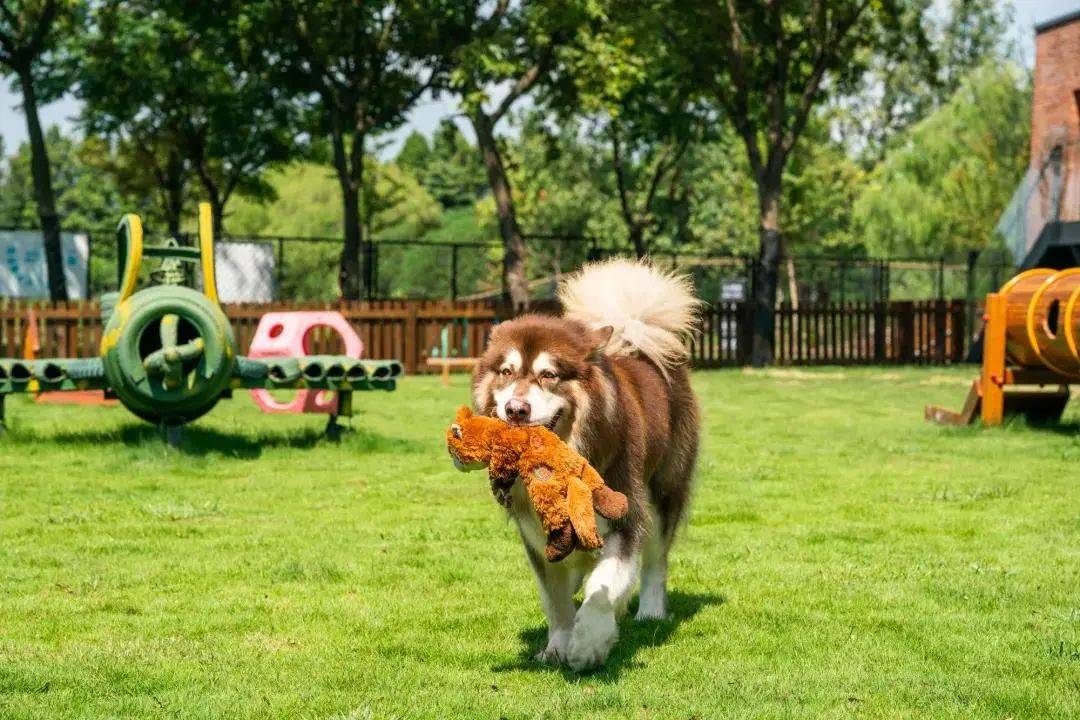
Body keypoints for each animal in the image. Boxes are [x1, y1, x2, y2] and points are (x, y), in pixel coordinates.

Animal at [473, 257, 699, 669]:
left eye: (548, 375)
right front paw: (558, 646)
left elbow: (603, 586)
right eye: (507, 372)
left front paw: (588, 643)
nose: (515, 409)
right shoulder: (536, 534)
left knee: (655, 560)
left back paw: (650, 610)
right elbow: (557, 601)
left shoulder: (625, 516)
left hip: (663, 489)